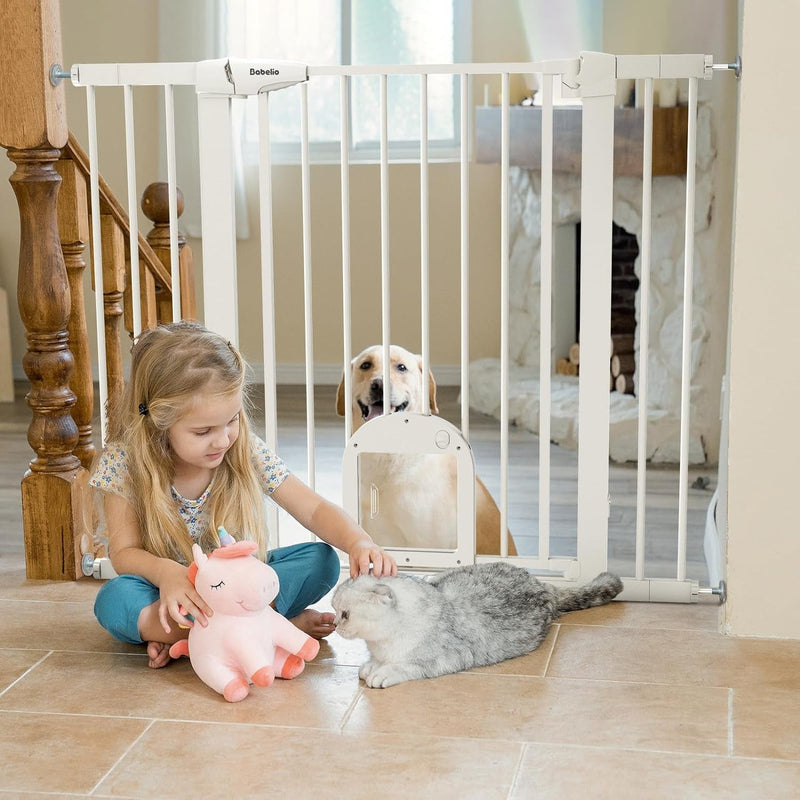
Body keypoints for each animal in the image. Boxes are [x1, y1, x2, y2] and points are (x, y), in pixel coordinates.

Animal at [332, 564, 624, 688]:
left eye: (345, 614)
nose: (334, 624)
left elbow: (407, 666)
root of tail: (543, 584)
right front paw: (370, 666)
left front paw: (382, 672)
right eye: (334, 610)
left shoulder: (449, 656)